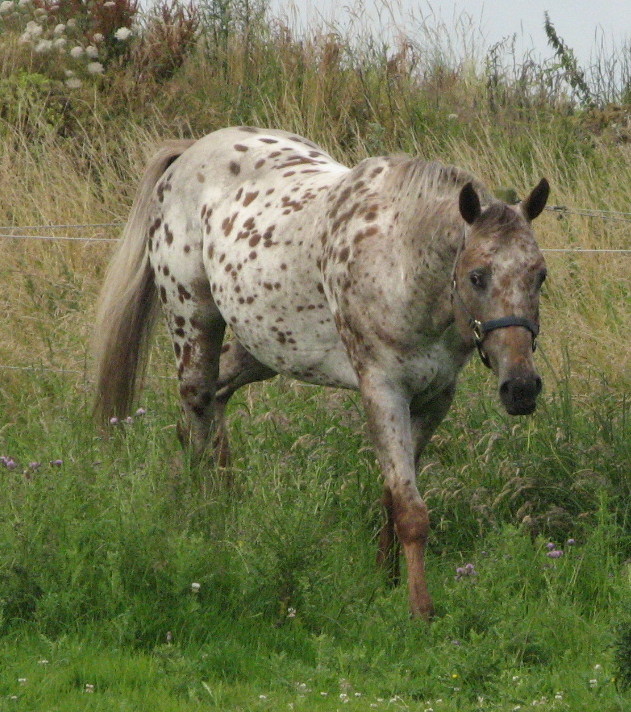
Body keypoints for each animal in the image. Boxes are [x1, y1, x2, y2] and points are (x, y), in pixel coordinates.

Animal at [92, 126, 548, 616]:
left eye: (539, 275)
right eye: (478, 276)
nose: (522, 388)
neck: (400, 263)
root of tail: (188, 154)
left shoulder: (434, 398)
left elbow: (393, 496)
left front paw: (385, 580)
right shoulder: (383, 390)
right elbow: (411, 510)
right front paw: (420, 610)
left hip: (261, 347)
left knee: (213, 403)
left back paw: (228, 510)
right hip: (193, 325)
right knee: (196, 415)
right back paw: (203, 523)